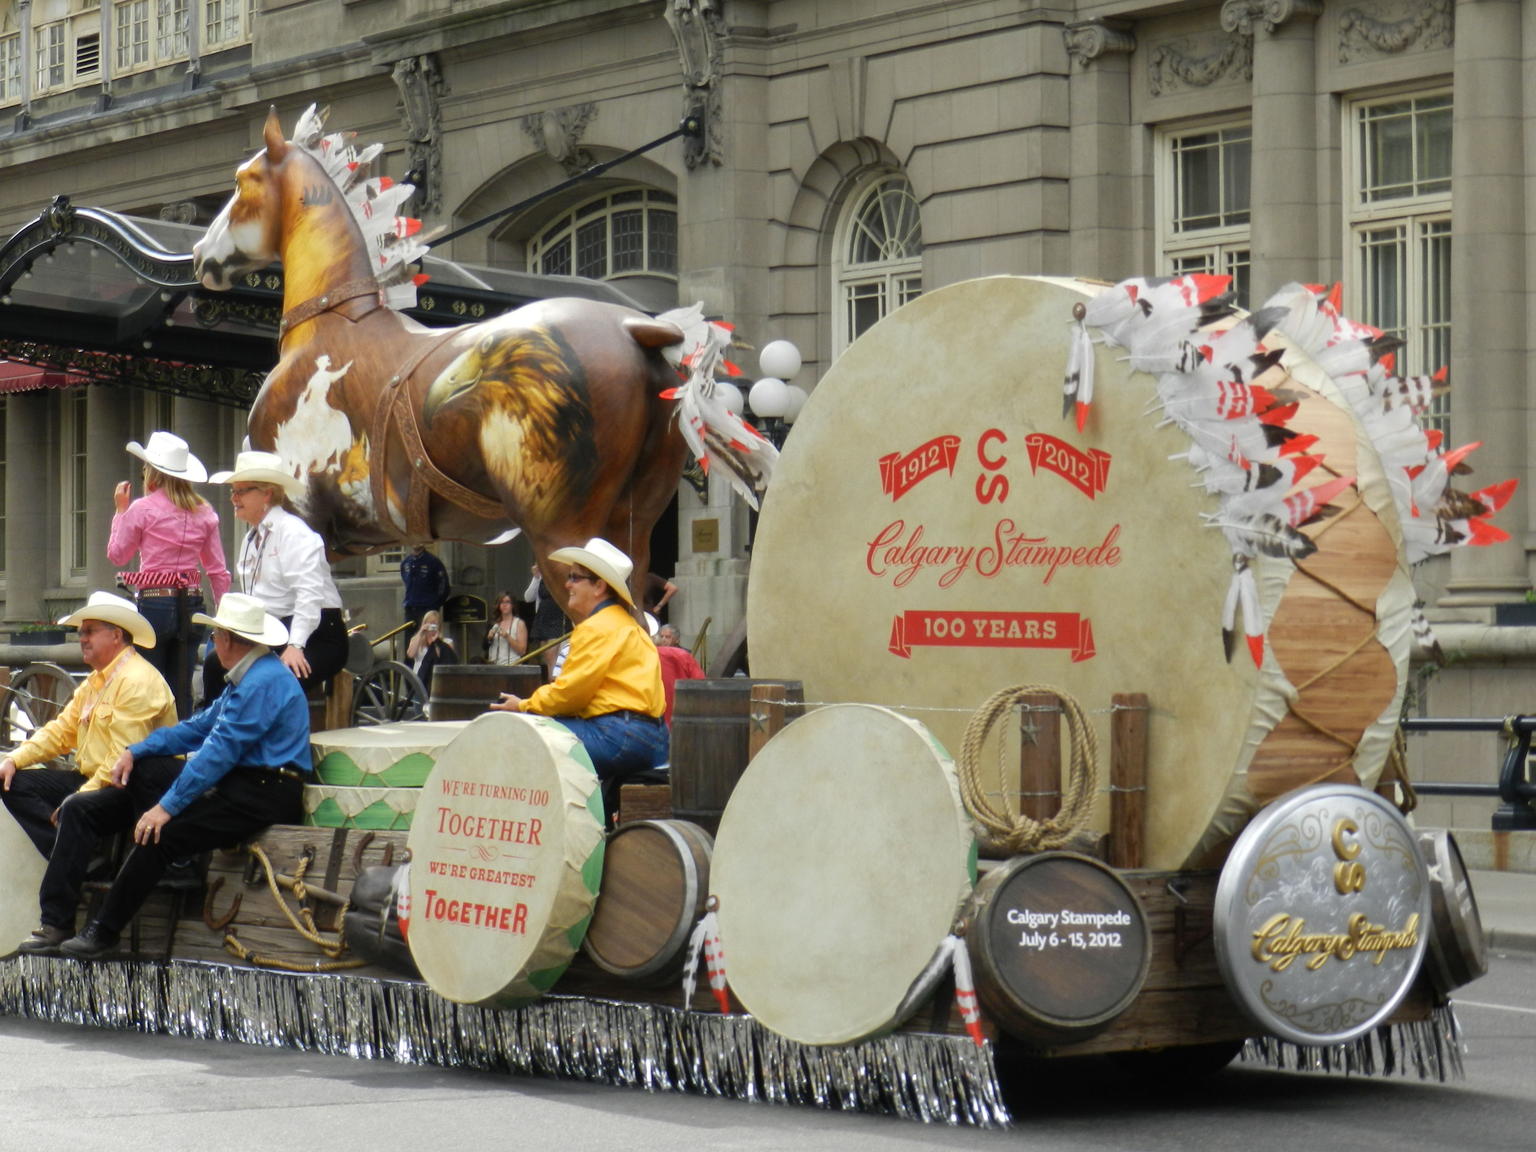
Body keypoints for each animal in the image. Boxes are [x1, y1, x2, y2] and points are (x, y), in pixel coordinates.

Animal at [192, 109, 691, 614]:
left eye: (242, 181)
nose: (199, 254)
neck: (331, 325)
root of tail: (631, 328)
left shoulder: (301, 512)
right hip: (631, 529)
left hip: (565, 534)